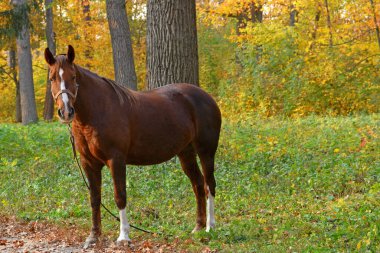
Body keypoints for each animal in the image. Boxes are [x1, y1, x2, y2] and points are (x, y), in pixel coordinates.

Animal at [43, 45, 223, 247]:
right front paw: (94, 236)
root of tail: (207, 97)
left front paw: (123, 237)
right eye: (52, 78)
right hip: (186, 153)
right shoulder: (88, 163)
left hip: (206, 151)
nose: (66, 111)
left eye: (73, 77)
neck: (98, 111)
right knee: (198, 185)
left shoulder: (116, 160)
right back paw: (198, 227)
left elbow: (120, 196)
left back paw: (210, 227)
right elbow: (95, 198)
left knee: (209, 184)